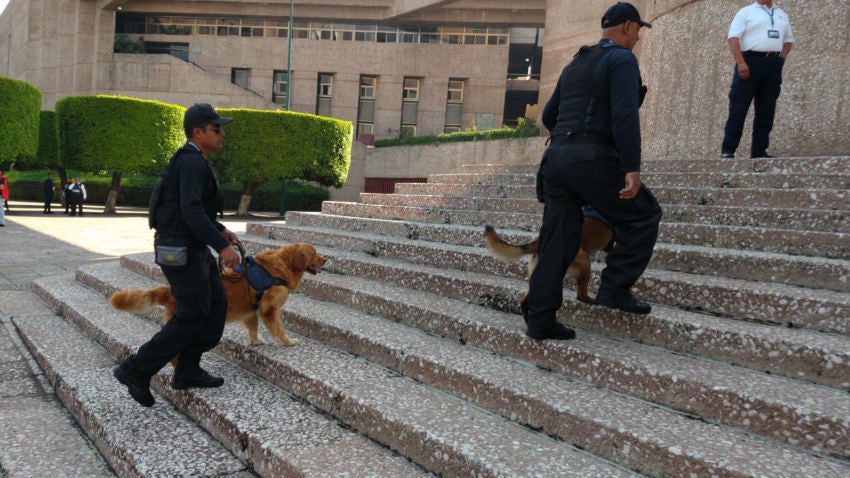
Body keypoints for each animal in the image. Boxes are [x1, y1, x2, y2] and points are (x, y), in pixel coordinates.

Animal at [111, 243, 322, 348]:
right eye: (314, 253)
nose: (326, 260)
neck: (284, 264)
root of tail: (171, 290)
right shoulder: (269, 308)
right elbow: (279, 327)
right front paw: (287, 341)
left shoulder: (251, 310)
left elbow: (253, 327)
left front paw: (255, 341)